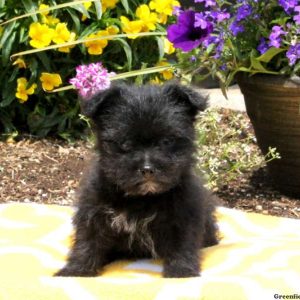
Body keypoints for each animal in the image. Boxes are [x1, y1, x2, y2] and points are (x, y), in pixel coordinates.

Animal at [55, 82, 217, 278]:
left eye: (167, 141)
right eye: (125, 143)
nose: (147, 169)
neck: (143, 198)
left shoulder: (185, 213)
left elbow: (183, 243)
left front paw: (181, 271)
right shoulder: (93, 209)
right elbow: (87, 241)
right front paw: (76, 270)